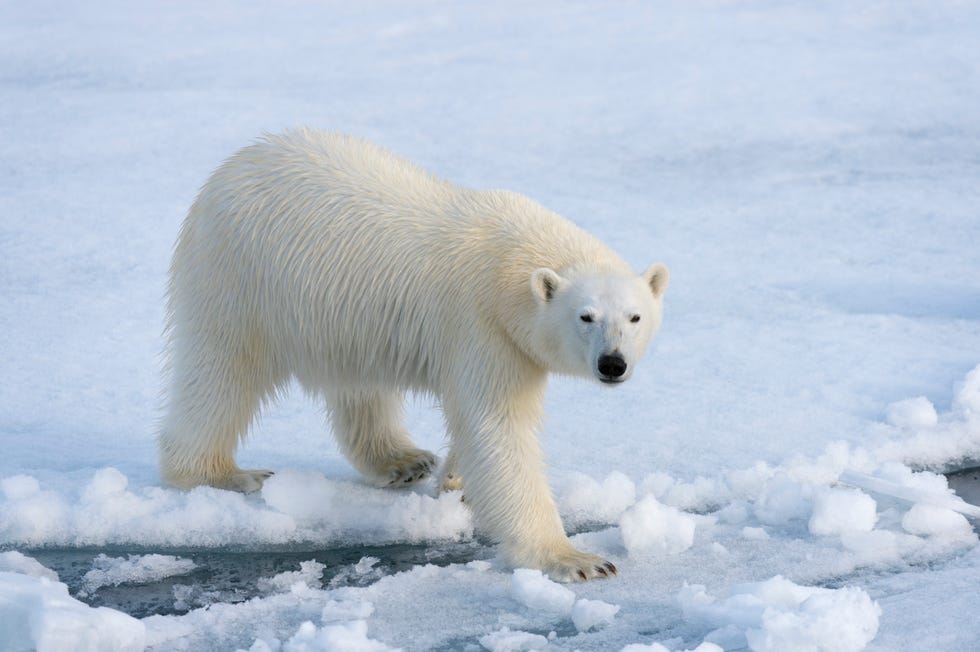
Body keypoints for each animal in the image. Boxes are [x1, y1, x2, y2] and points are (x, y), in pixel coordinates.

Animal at [159, 130, 668, 584]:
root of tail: (232, 167)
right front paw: (578, 560)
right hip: (238, 279)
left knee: (358, 385)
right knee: (221, 373)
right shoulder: (480, 325)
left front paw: (456, 482)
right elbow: (499, 428)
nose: (613, 364)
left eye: (635, 316)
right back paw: (223, 473)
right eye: (586, 316)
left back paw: (402, 460)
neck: (509, 258)